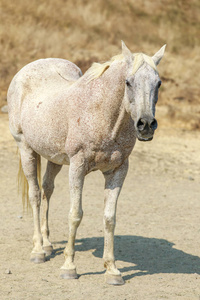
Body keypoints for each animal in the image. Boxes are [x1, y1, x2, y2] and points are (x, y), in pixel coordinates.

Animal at [7, 41, 166, 284]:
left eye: (158, 83)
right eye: (128, 82)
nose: (146, 125)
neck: (103, 116)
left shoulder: (118, 170)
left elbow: (109, 218)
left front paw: (112, 270)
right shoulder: (77, 167)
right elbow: (75, 215)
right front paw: (69, 267)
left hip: (54, 158)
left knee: (46, 191)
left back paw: (48, 245)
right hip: (26, 149)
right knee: (34, 195)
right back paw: (38, 251)